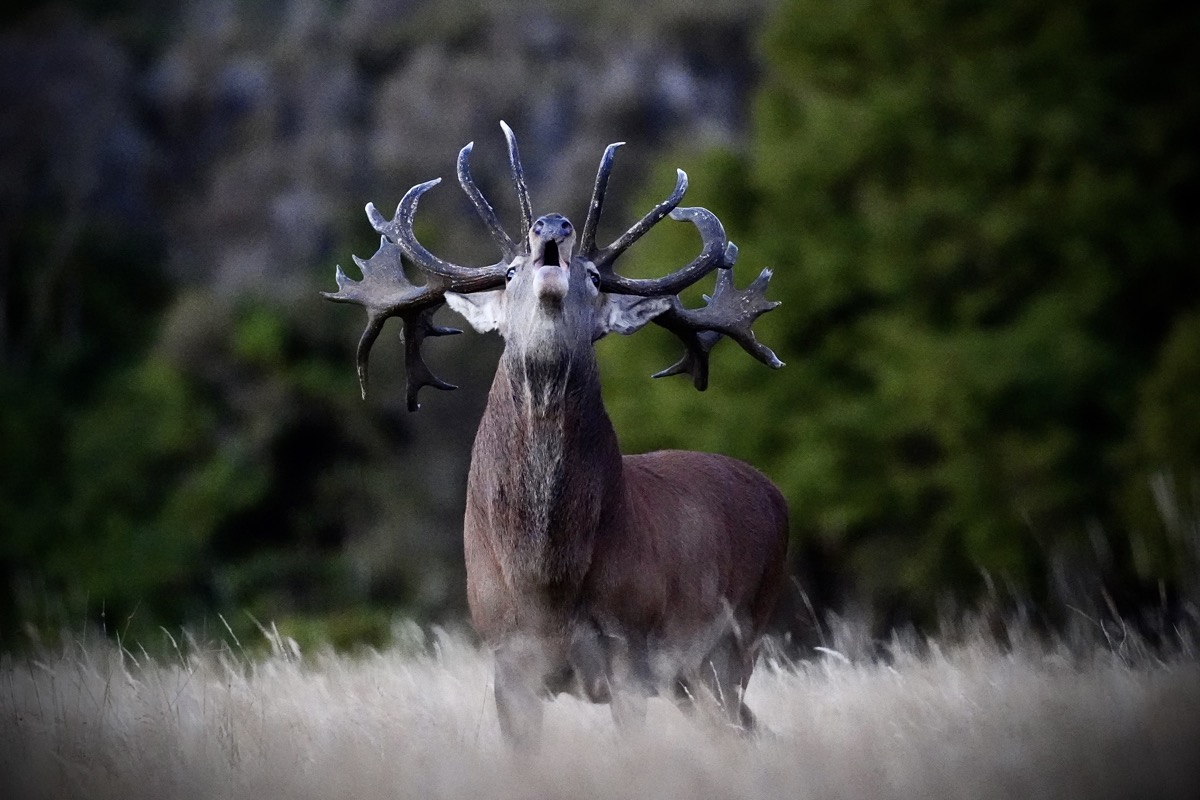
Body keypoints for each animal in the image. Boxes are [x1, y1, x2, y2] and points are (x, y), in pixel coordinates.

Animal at [324, 122, 788, 748]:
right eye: (510, 271)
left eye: (592, 275)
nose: (552, 226)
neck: (546, 583)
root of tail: (775, 493)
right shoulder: (504, 656)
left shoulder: (627, 650)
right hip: (693, 678)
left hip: (737, 640)